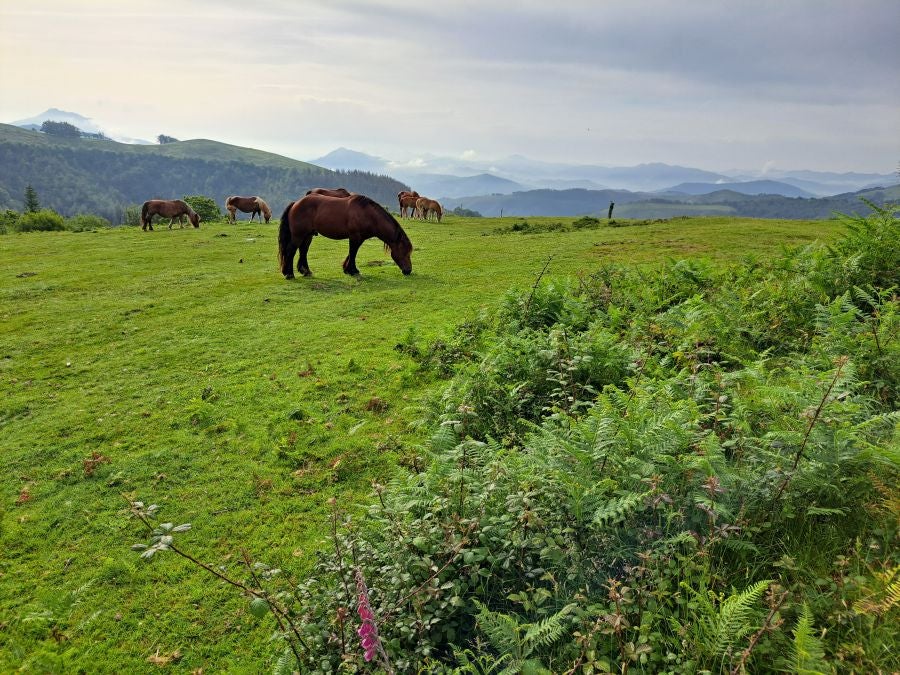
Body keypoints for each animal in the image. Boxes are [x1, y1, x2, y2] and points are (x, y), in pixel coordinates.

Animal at [278, 194, 414, 278]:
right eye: (405, 252)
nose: (408, 270)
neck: (367, 214)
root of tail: (295, 203)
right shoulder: (355, 237)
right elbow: (353, 253)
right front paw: (353, 270)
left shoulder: (358, 238)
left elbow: (351, 253)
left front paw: (347, 269)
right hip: (298, 235)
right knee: (291, 251)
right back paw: (289, 274)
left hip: (308, 235)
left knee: (303, 251)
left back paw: (306, 271)